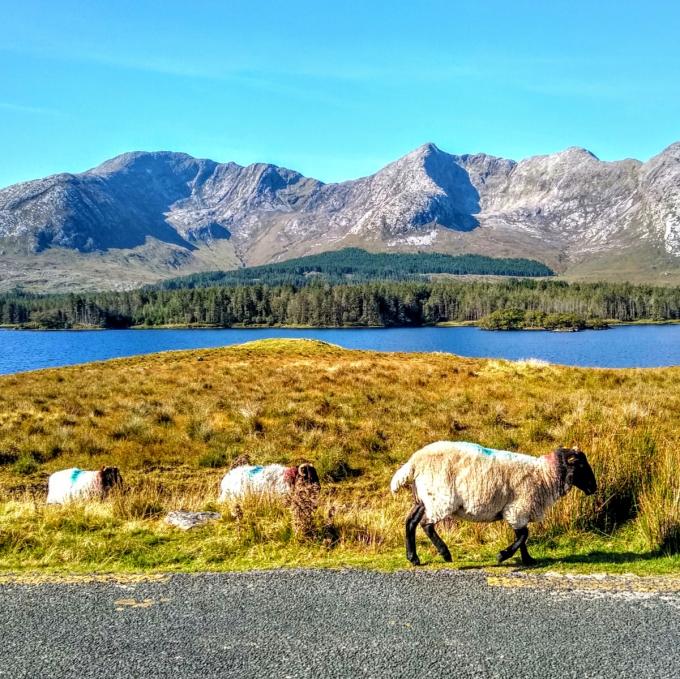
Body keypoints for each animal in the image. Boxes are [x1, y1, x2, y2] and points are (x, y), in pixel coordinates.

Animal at [390, 440, 596, 568]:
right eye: (581, 465)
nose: (594, 488)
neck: (545, 475)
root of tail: (414, 462)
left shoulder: (518, 511)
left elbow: (522, 536)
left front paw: (528, 559)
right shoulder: (518, 507)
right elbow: (524, 535)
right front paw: (502, 555)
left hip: (424, 498)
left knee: (410, 522)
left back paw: (413, 558)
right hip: (440, 498)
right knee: (427, 525)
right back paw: (445, 553)